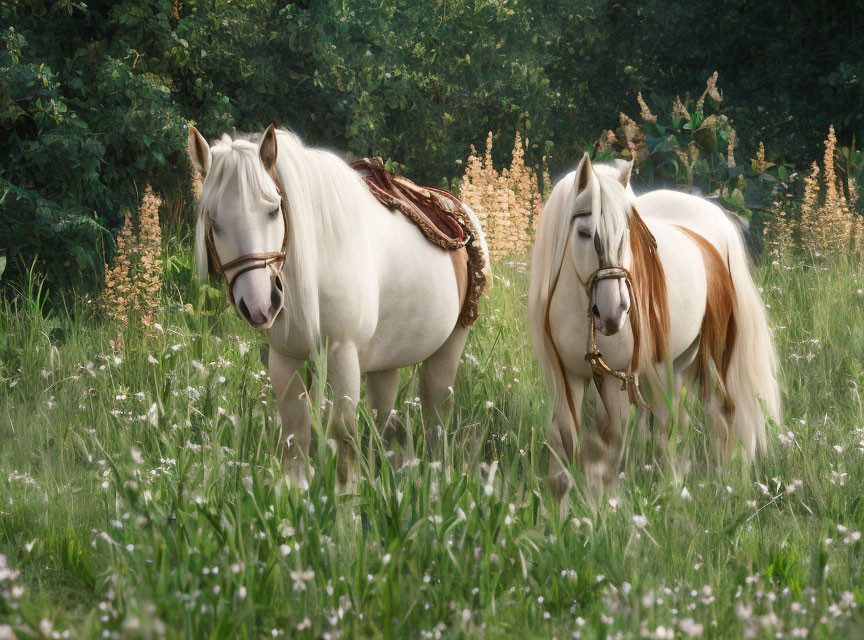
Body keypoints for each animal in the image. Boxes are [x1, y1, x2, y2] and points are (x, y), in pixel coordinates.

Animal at [186, 125, 490, 484]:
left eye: (273, 209)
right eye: (213, 221)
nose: (260, 304)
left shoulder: (343, 357)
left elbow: (343, 444)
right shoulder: (284, 360)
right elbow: (297, 438)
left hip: (449, 348)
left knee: (435, 418)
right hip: (385, 363)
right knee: (381, 420)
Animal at [528, 155, 784, 496]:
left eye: (627, 233)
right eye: (583, 233)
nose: (614, 312)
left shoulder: (615, 377)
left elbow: (613, 440)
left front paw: (605, 498)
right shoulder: (567, 377)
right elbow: (568, 436)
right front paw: (564, 497)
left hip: (709, 357)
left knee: (717, 412)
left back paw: (717, 478)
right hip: (676, 362)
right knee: (676, 419)